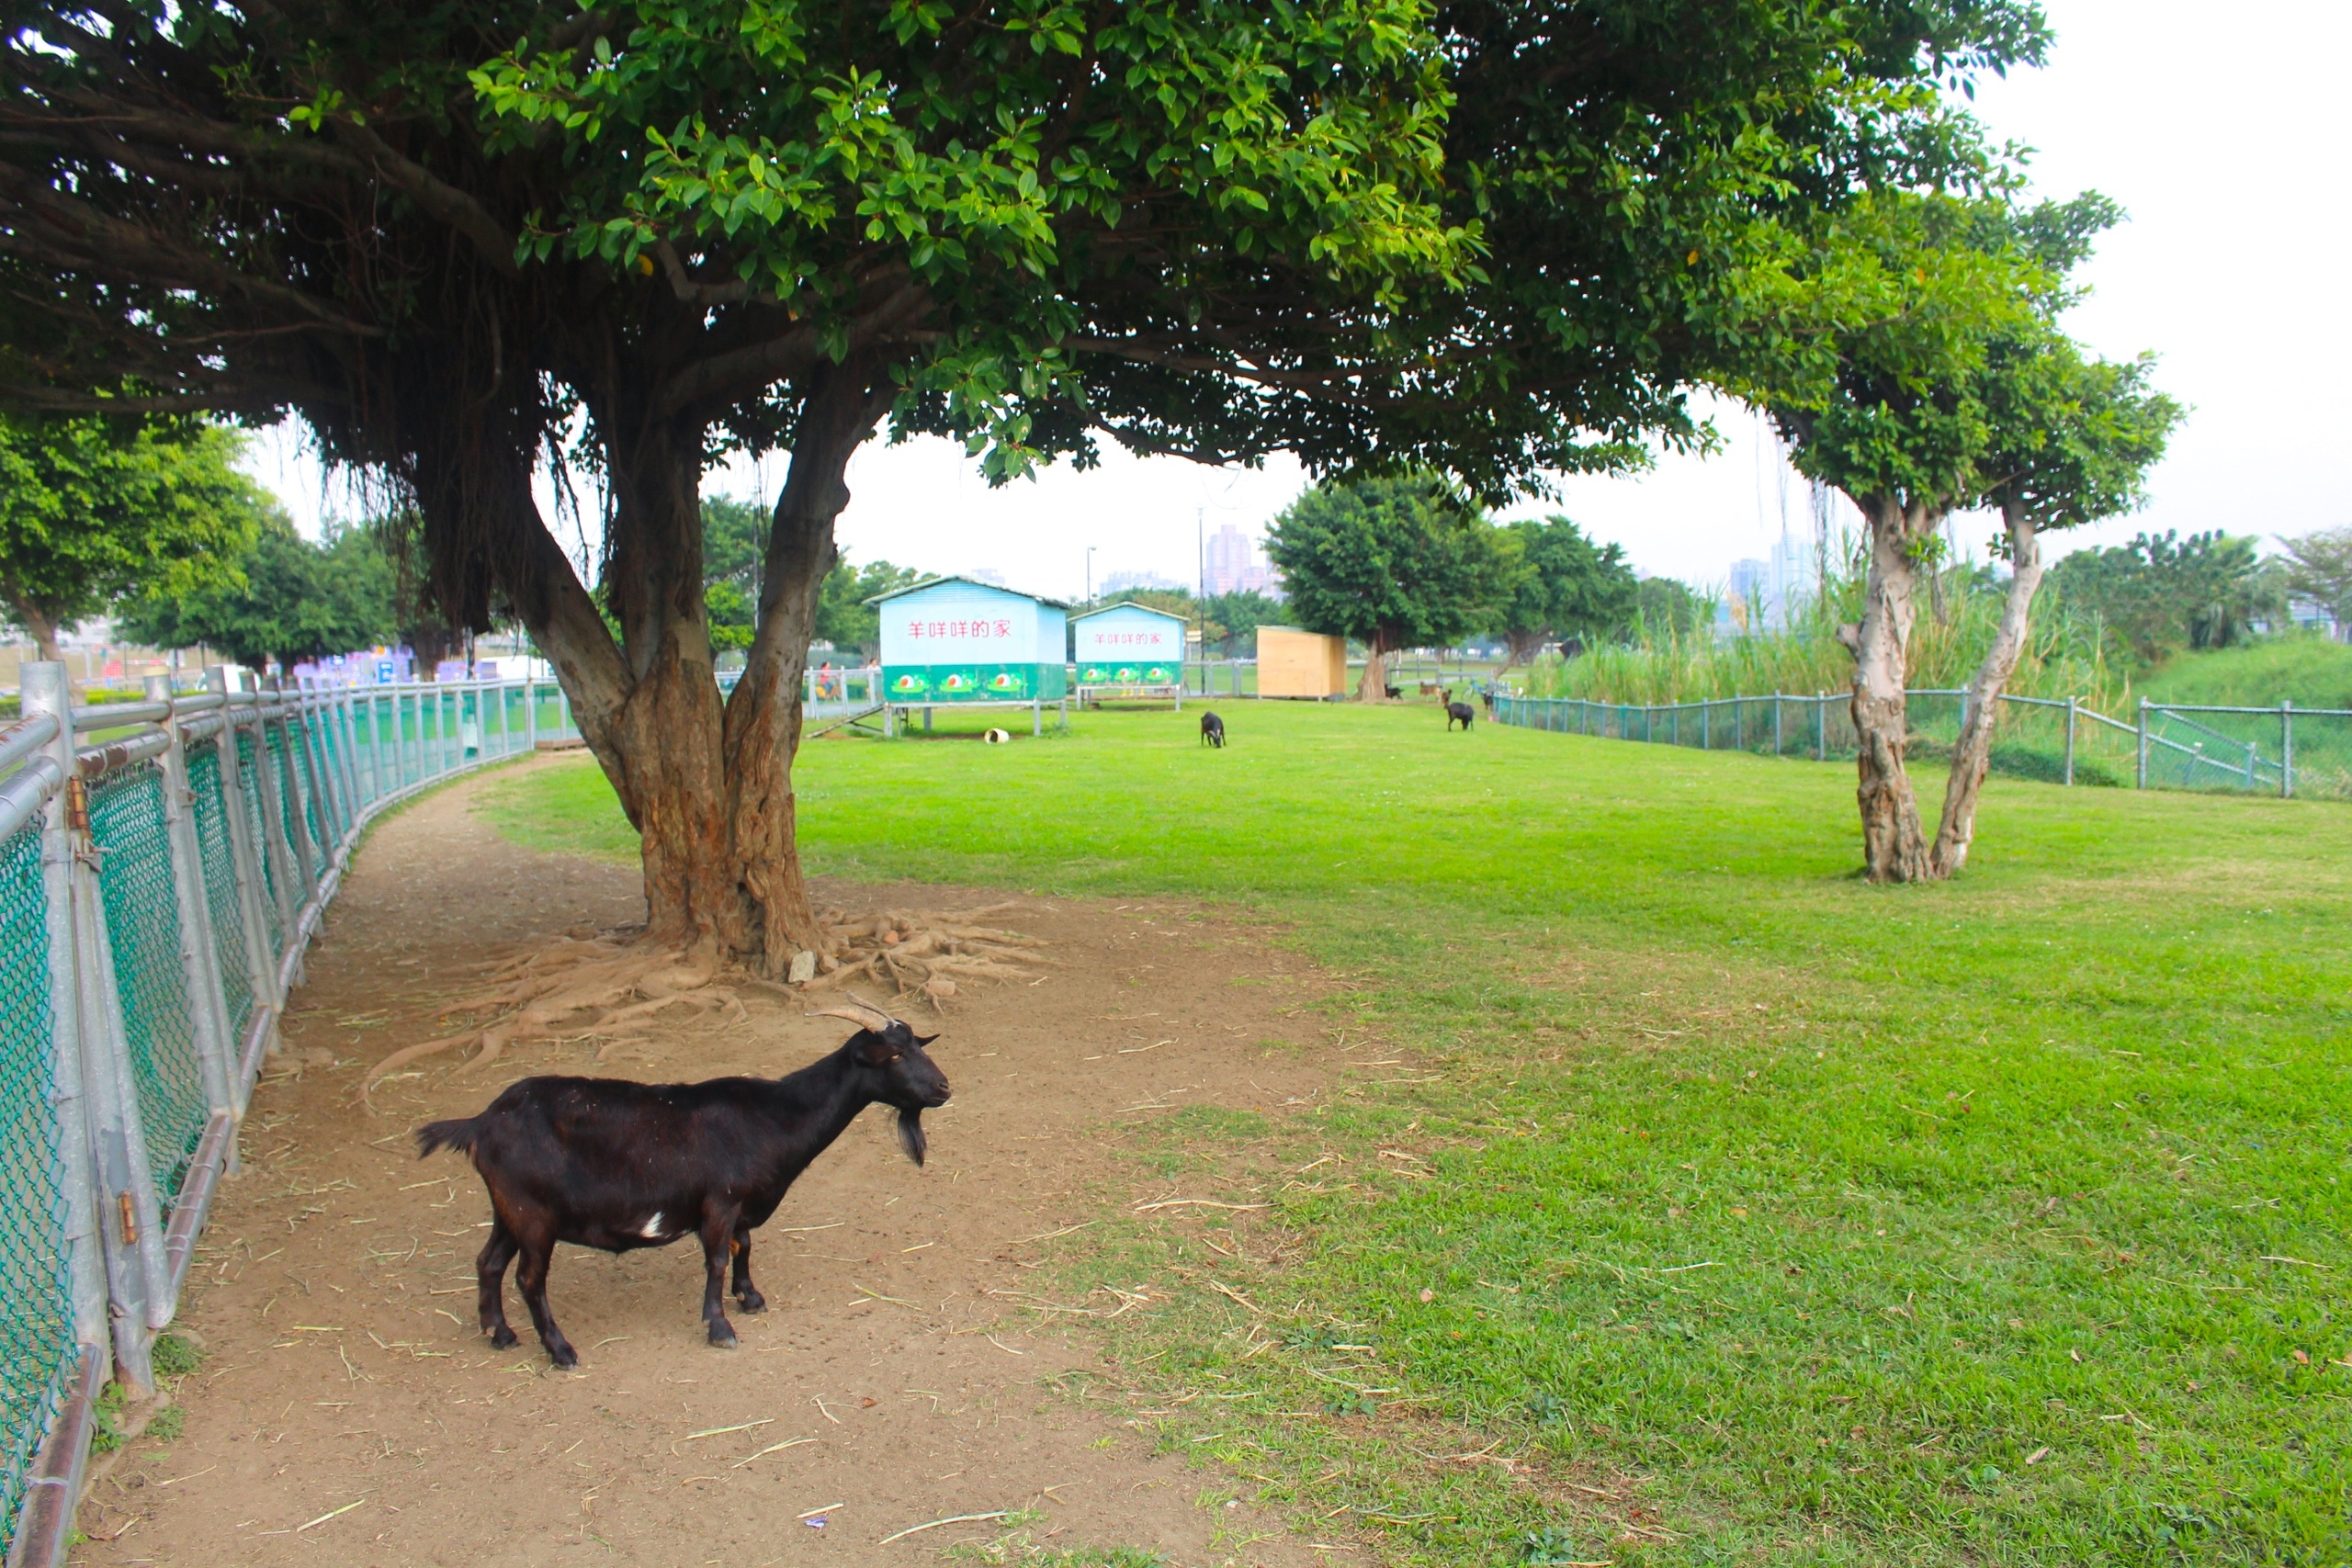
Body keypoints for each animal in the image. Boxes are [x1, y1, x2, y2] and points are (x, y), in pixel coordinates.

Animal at [418, 1006, 941, 1363]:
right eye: (894, 1054)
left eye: (918, 1046)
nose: (944, 1088)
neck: (774, 1116)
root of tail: (481, 1123)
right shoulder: (720, 1202)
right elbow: (716, 1259)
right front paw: (720, 1327)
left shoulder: (739, 1203)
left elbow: (743, 1247)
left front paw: (750, 1298)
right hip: (534, 1214)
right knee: (529, 1279)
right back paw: (560, 1350)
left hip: (508, 1208)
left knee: (488, 1262)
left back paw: (500, 1334)